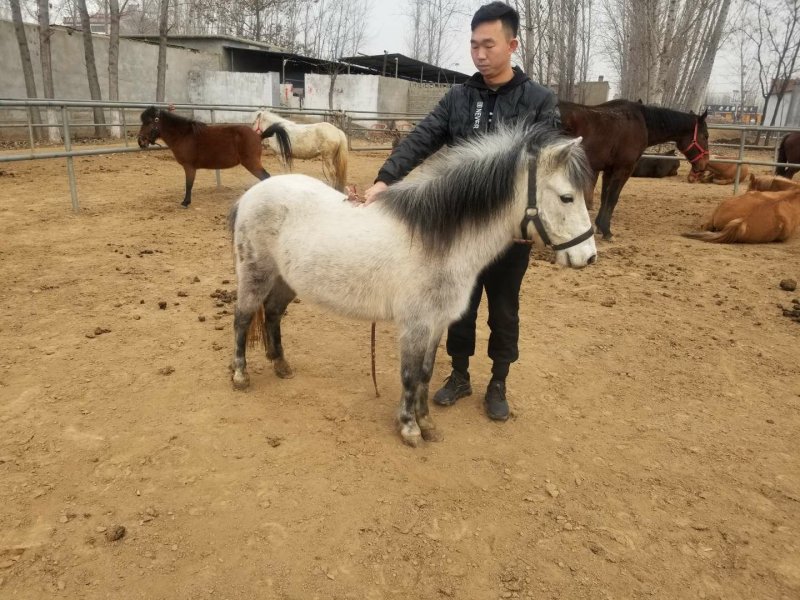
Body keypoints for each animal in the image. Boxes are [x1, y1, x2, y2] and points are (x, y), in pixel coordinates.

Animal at [137, 106, 292, 207]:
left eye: (149, 122)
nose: (140, 142)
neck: (184, 135)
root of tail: (258, 136)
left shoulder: (189, 167)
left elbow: (188, 184)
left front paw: (185, 202)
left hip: (252, 163)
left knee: (265, 177)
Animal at [227, 121, 598, 447]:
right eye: (566, 197)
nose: (588, 256)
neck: (438, 240)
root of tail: (251, 195)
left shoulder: (436, 324)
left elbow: (426, 373)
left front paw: (427, 424)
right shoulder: (415, 325)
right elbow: (409, 375)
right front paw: (408, 428)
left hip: (285, 280)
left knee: (273, 313)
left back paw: (280, 365)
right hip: (256, 273)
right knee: (243, 319)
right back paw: (240, 375)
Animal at [559, 99, 709, 240]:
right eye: (705, 136)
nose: (704, 164)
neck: (641, 123)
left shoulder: (609, 170)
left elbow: (605, 197)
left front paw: (600, 227)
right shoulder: (624, 169)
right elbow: (613, 198)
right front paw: (607, 231)